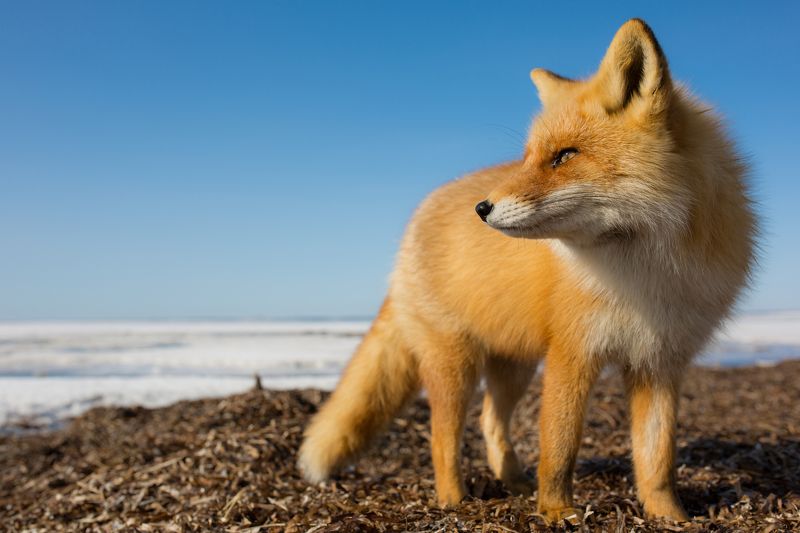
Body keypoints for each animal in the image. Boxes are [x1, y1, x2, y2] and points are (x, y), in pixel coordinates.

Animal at [297, 19, 756, 522]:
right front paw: (556, 511)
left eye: (565, 156)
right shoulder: (573, 352)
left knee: (489, 421)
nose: (483, 208)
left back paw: (513, 481)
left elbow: (656, 458)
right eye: (530, 157)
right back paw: (453, 502)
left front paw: (669, 516)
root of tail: (415, 221)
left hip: (513, 365)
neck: (648, 276)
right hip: (455, 365)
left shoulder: (661, 363)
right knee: (443, 439)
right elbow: (559, 446)